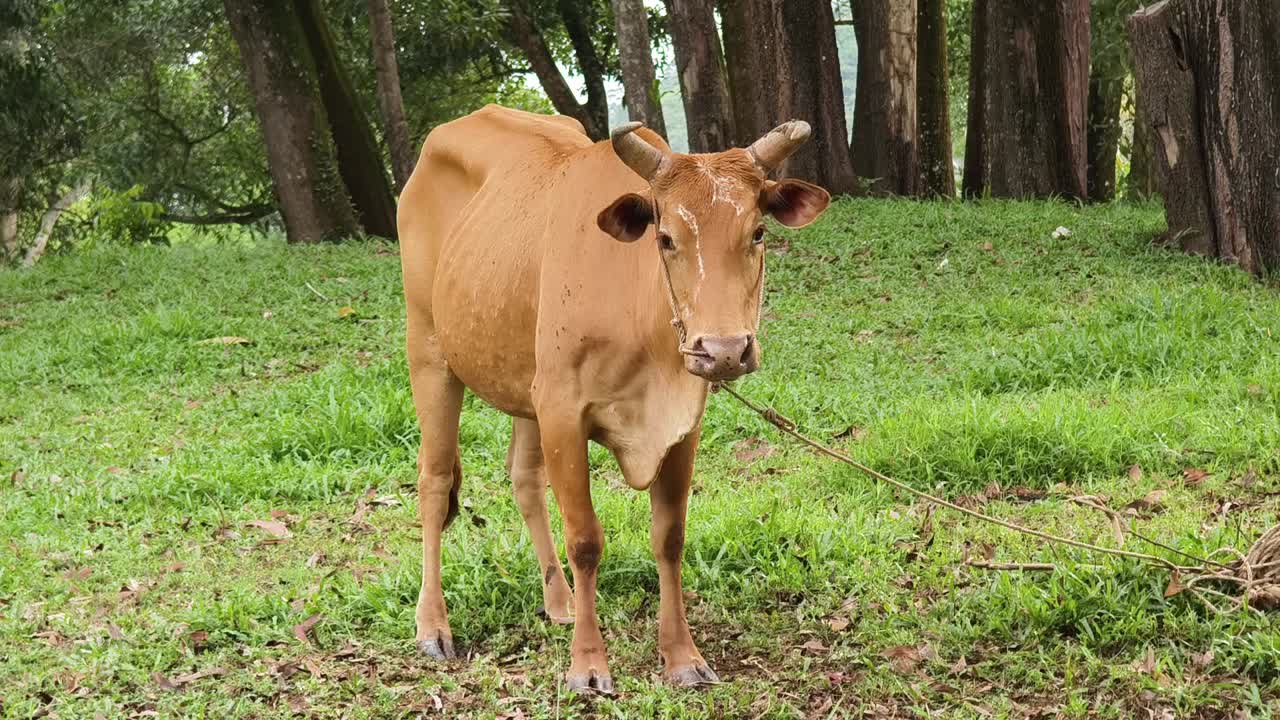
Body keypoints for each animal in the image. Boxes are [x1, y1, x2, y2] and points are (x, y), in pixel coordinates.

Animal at [397, 104, 830, 692]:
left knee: (524, 479)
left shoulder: (681, 424)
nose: (722, 351)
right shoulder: (563, 413)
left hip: (524, 382)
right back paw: (432, 626)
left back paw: (558, 601)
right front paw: (587, 664)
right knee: (435, 482)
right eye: (665, 238)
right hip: (429, 351)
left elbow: (669, 537)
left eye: (758, 232)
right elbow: (585, 540)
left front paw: (682, 656)